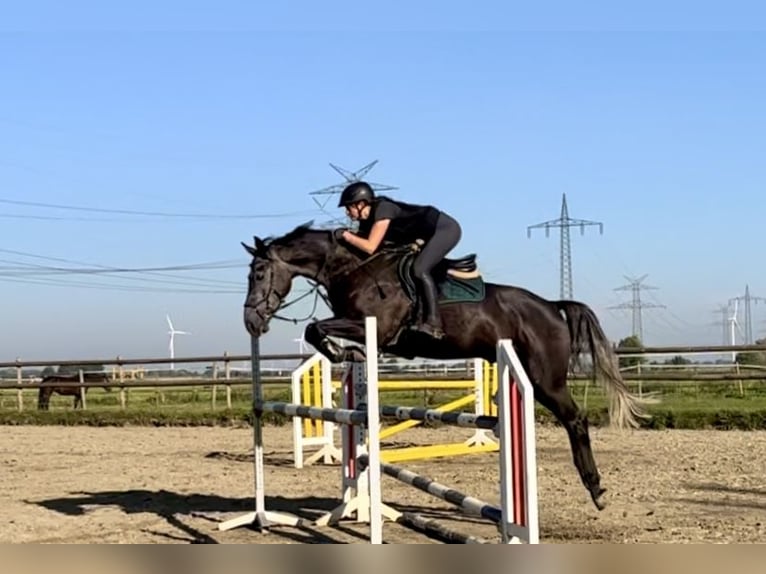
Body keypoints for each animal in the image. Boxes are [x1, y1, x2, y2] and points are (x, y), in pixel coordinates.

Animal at [240, 223, 656, 510]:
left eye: (257, 273)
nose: (251, 322)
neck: (353, 269)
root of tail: (552, 306)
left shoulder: (376, 327)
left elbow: (314, 327)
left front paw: (345, 353)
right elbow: (316, 330)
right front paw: (350, 356)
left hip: (545, 380)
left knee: (575, 420)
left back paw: (596, 489)